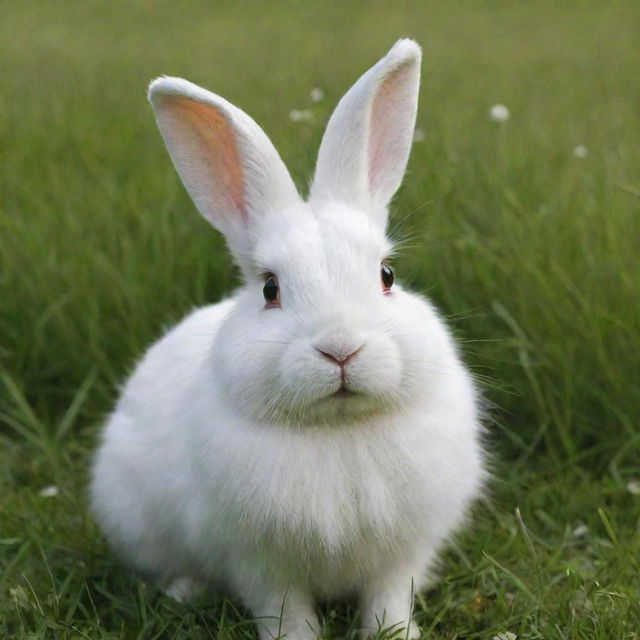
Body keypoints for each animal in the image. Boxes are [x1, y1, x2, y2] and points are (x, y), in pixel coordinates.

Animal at [91, 41, 484, 640]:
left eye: (387, 275)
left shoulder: (401, 554)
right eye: (270, 288)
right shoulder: (258, 564)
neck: (338, 430)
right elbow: (284, 609)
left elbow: (389, 598)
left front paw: (394, 633)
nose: (341, 349)